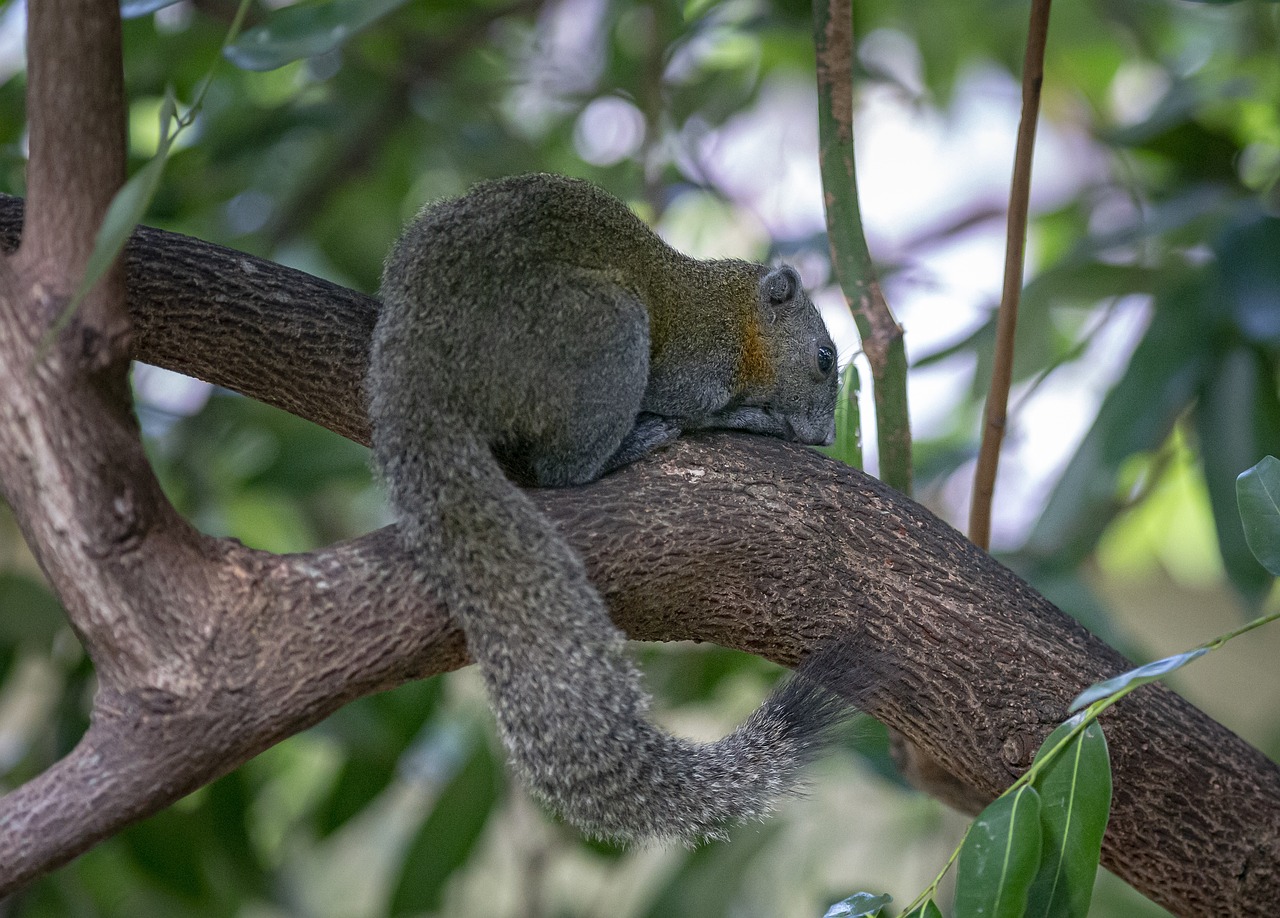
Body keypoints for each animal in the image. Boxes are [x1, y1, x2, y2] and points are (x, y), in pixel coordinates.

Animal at [368, 174, 849, 845]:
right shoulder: (699, 369)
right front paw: (756, 419)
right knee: (564, 470)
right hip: (603, 330)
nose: (826, 436)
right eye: (825, 359)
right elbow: (703, 408)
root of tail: (423, 358)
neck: (735, 310)